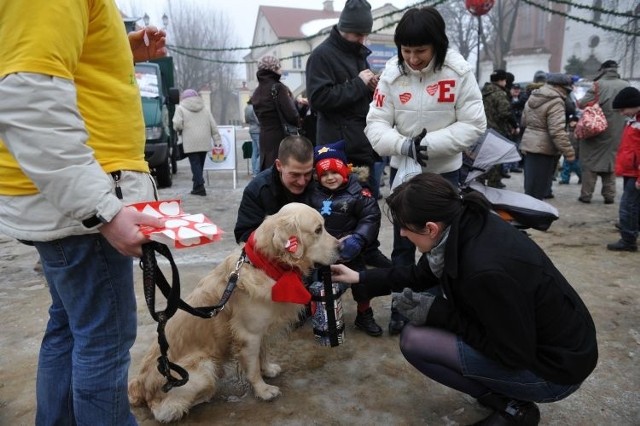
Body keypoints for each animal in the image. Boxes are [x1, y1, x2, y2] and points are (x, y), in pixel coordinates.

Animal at [129, 203, 340, 422]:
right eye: (318, 230)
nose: (341, 247)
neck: (265, 265)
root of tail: (139, 385)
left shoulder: (261, 330)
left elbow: (263, 353)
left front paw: (268, 369)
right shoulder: (249, 334)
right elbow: (253, 368)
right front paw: (263, 390)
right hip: (201, 368)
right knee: (166, 410)